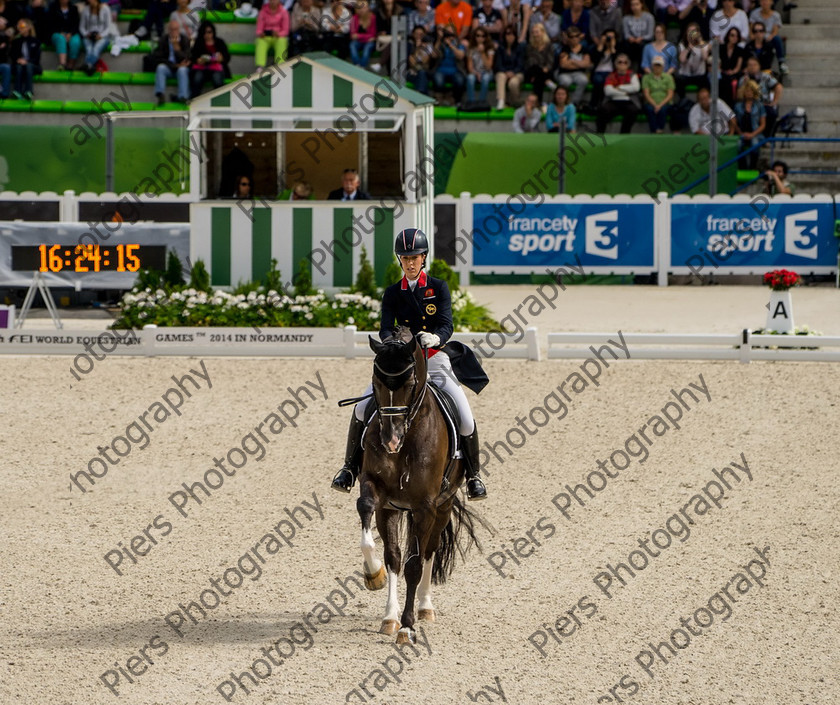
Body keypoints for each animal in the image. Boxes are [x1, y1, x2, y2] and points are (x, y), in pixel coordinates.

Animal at [358, 328, 482, 640]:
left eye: (411, 383)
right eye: (376, 382)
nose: (390, 441)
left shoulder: (425, 506)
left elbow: (414, 565)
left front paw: (408, 626)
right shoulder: (379, 496)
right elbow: (383, 549)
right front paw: (374, 576)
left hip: (443, 505)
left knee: (428, 551)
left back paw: (425, 608)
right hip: (395, 509)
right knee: (395, 556)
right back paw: (389, 616)